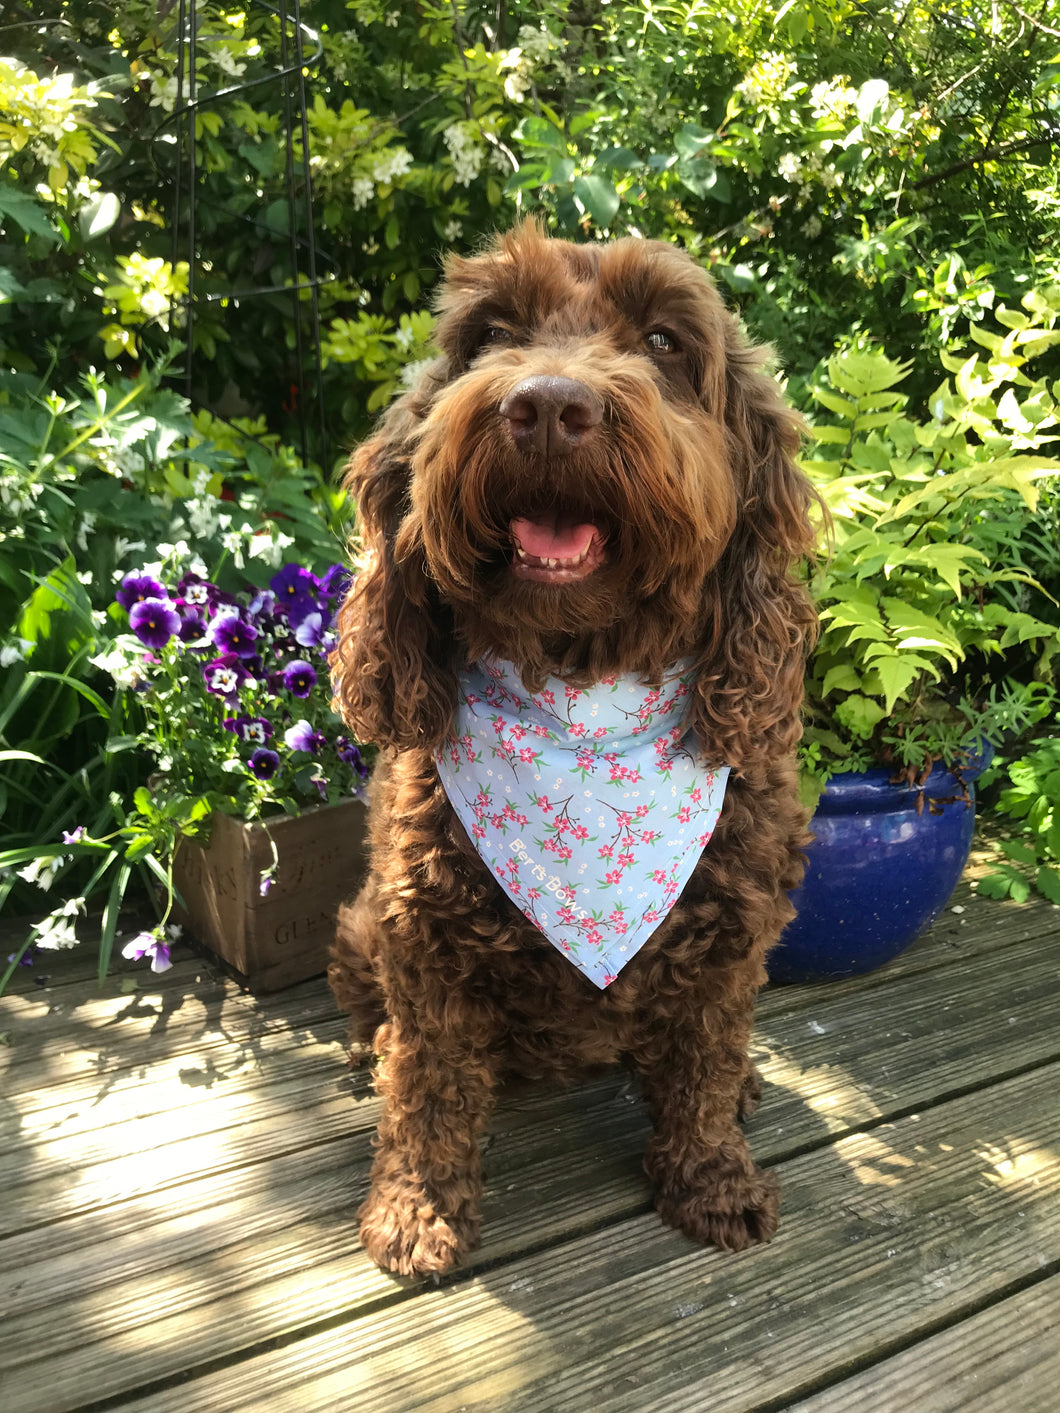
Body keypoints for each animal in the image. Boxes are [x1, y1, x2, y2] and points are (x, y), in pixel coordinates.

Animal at [327, 223, 819, 1283]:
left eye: (667, 341)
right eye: (490, 333)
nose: (548, 406)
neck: (580, 697)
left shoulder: (734, 933)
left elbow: (705, 1060)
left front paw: (712, 1178)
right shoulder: (422, 939)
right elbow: (430, 1086)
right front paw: (417, 1209)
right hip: (356, 927)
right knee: (381, 1029)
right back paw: (372, 1054)